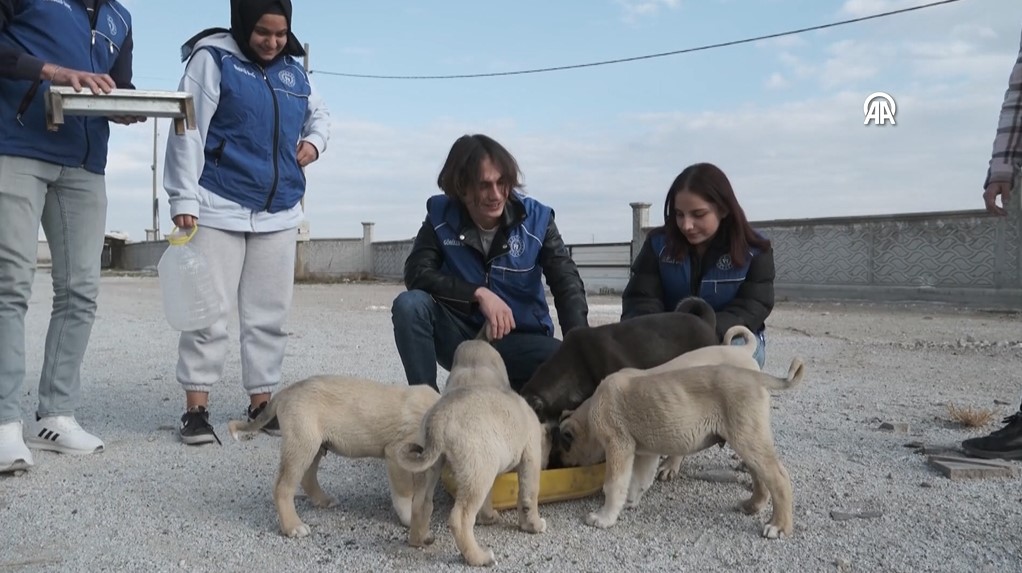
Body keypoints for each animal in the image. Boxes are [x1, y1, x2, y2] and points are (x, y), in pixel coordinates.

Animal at [227, 375, 439, 535]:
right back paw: (293, 526)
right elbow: (404, 493)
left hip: (315, 446)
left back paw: (323, 500)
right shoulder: (396, 454)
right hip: (302, 444)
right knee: (282, 487)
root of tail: (285, 393)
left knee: (307, 477)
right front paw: (410, 519)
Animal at [394, 339, 547, 567]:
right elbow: (529, 496)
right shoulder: (530, 457)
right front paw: (534, 525)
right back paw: (479, 557)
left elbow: (489, 498)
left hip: (437, 468)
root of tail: (439, 418)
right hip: (477, 473)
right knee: (460, 518)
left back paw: (420, 539)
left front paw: (488, 517)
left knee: (420, 504)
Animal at [580, 359, 801, 539]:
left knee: (779, 478)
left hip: (747, 439)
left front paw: (604, 517)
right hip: (749, 440)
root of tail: (755, 377)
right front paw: (629, 501)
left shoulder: (618, 444)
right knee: (760, 476)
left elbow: (613, 484)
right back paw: (751, 505)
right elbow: (638, 479)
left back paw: (779, 526)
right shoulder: (645, 451)